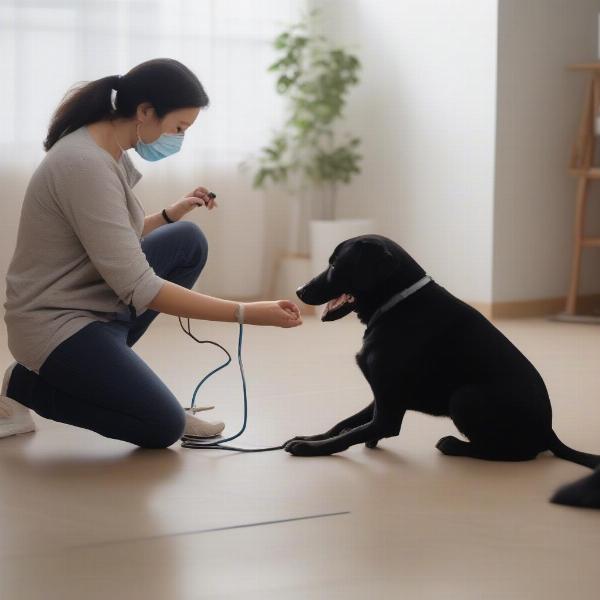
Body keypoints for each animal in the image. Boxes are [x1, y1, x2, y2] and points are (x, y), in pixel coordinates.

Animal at [284, 234, 600, 488]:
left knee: (517, 453)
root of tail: (549, 431)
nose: (298, 290)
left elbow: (349, 435)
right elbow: (344, 424)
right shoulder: (383, 395)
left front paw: (308, 448)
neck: (397, 304)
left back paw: (453, 445)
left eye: (335, 265)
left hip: (465, 397)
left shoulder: (388, 412)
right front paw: (312, 437)